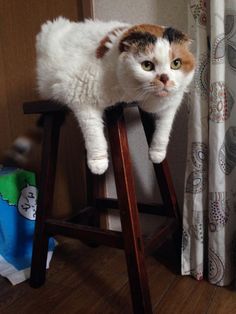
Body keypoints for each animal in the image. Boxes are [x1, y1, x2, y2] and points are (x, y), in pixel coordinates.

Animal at [5, 17, 195, 174]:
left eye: (176, 64)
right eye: (147, 65)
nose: (165, 78)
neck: (128, 93)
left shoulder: (170, 101)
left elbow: (165, 126)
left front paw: (157, 153)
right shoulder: (79, 94)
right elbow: (93, 133)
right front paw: (98, 162)